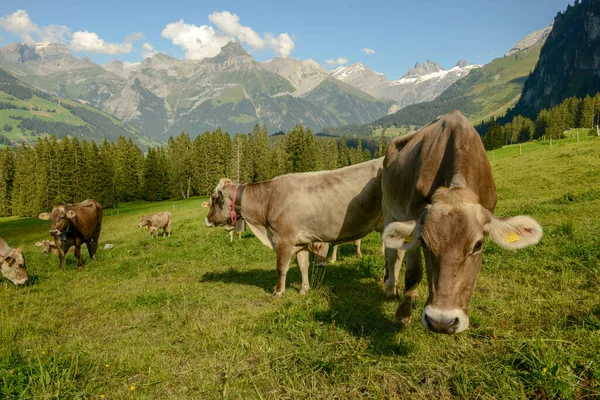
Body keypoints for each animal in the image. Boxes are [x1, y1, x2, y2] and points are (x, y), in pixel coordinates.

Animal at [205, 159, 384, 296]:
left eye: (214, 199)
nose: (207, 219)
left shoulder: (284, 239)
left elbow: (281, 267)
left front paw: (278, 291)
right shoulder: (301, 241)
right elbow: (302, 265)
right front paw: (304, 289)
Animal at [384, 111, 544, 336]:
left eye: (478, 245)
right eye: (424, 242)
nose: (441, 322)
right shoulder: (413, 214)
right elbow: (413, 273)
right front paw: (401, 316)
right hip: (388, 207)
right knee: (393, 254)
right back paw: (391, 290)